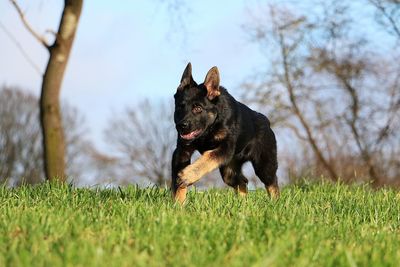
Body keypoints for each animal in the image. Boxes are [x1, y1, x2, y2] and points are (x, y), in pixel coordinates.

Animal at [171, 63, 278, 205]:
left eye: (198, 108)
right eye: (179, 107)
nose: (181, 126)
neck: (209, 129)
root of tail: (266, 121)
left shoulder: (225, 148)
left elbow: (207, 157)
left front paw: (188, 175)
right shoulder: (182, 151)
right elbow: (179, 182)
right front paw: (178, 203)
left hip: (264, 165)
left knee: (272, 183)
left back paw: (276, 203)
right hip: (229, 170)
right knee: (242, 182)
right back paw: (242, 204)